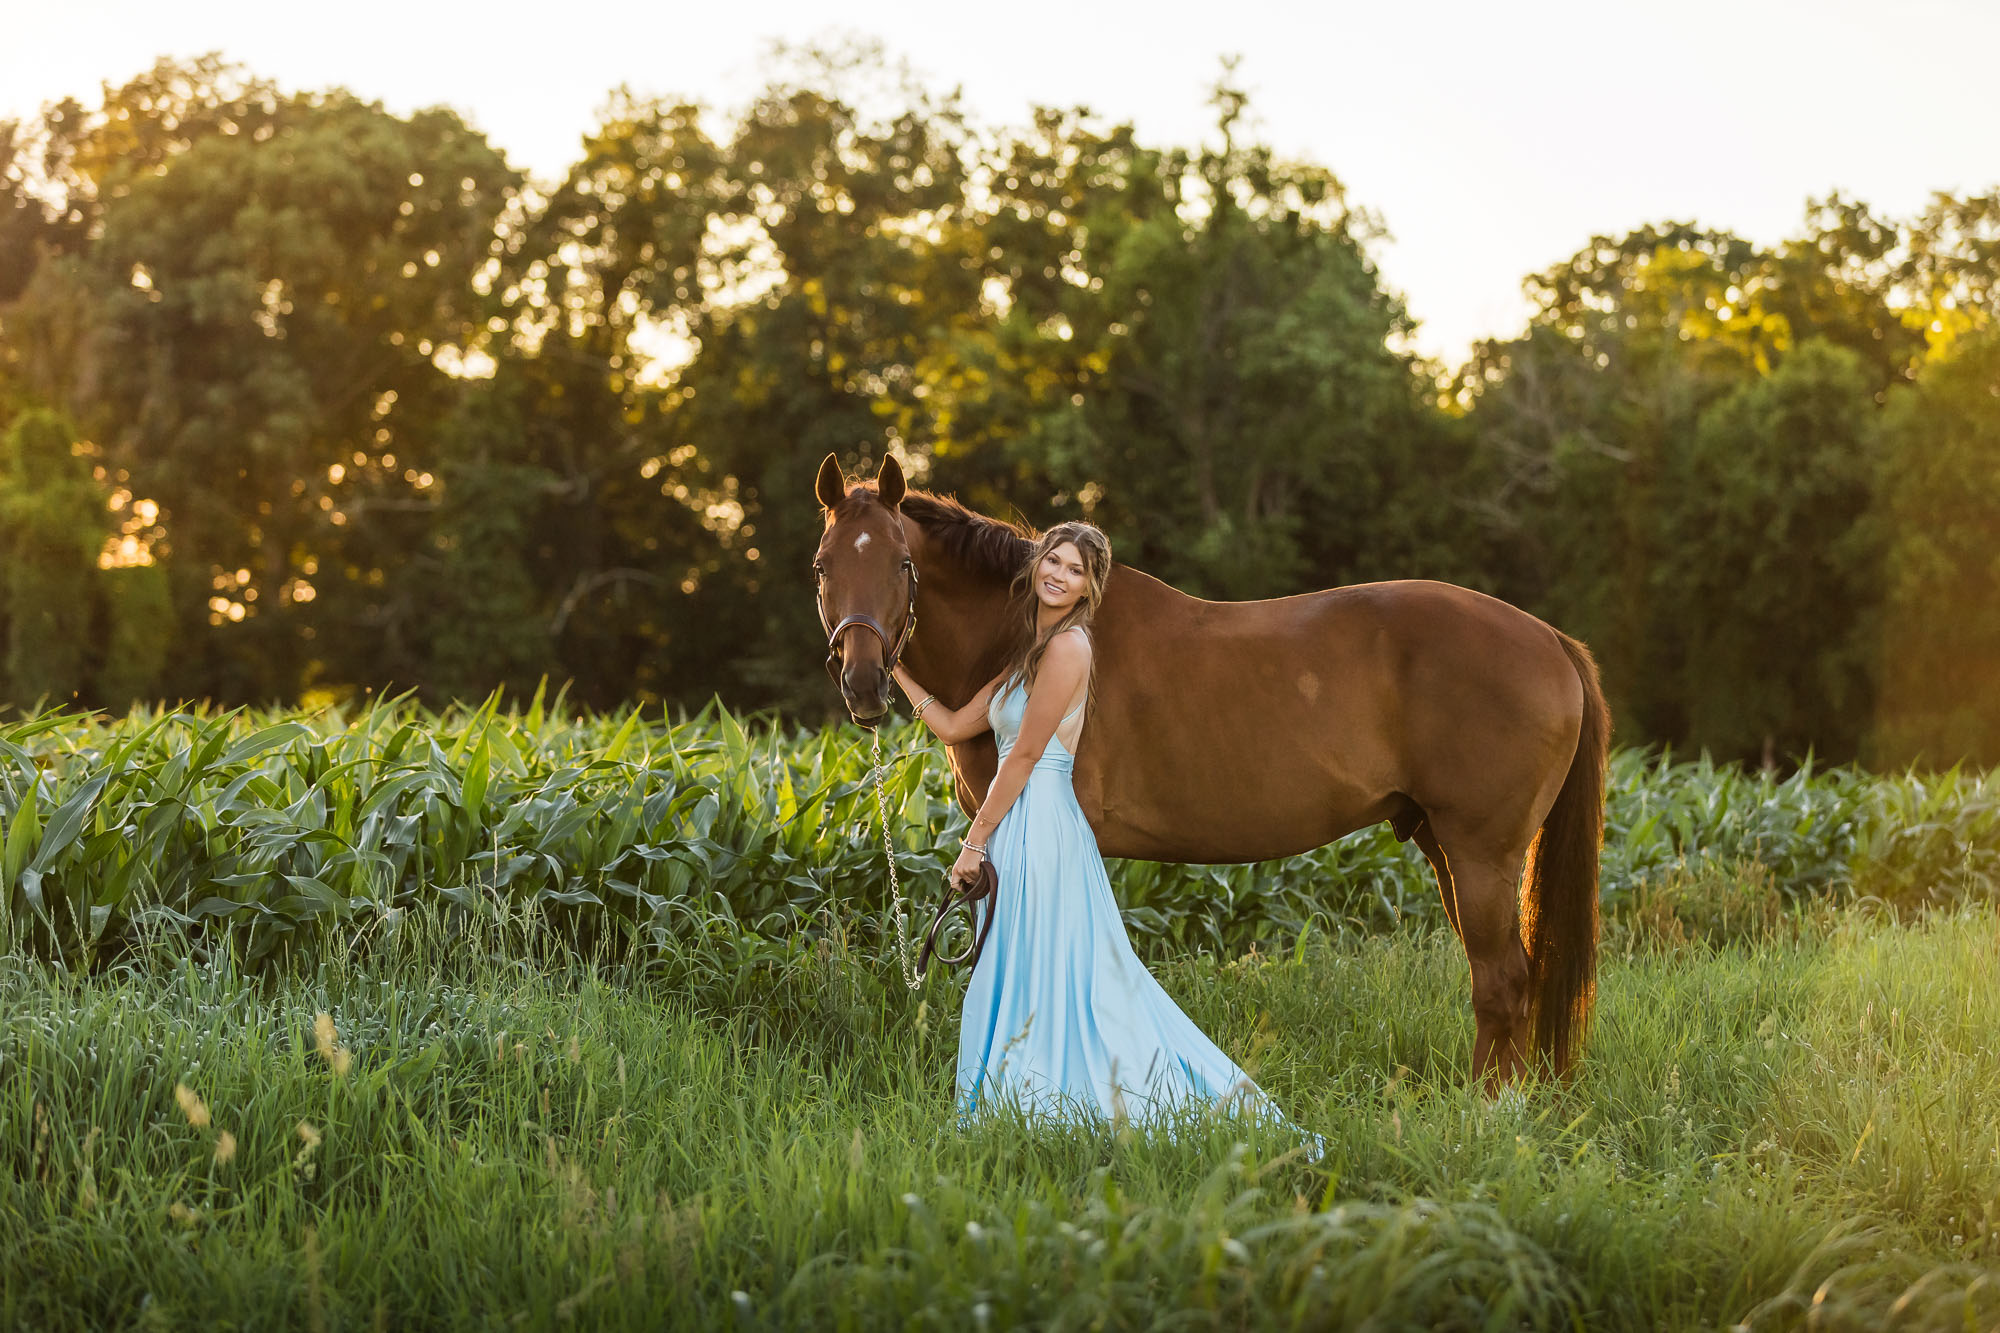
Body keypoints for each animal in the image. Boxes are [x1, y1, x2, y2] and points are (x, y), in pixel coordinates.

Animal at [812, 452, 1608, 1088]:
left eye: (902, 564)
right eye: (824, 566)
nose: (864, 684)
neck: (1037, 635)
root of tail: (1552, 640)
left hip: (1482, 852)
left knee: (1504, 981)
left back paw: (1492, 1110)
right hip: (1446, 845)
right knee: (1503, 978)